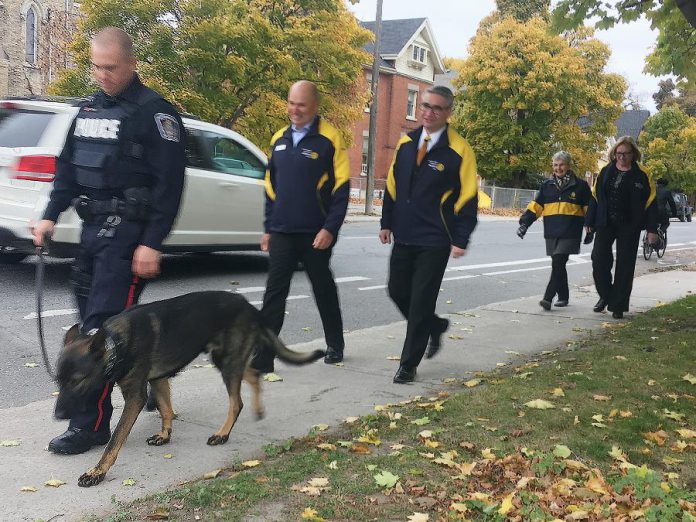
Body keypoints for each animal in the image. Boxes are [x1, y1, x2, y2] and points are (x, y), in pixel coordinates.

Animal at [54, 290, 326, 486]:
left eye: (78, 380)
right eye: (58, 380)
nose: (58, 415)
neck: (115, 344)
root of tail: (248, 304)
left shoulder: (135, 397)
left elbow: (115, 440)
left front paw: (97, 471)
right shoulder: (158, 380)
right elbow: (165, 409)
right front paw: (165, 435)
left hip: (227, 363)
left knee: (237, 401)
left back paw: (222, 434)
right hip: (223, 359)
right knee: (253, 374)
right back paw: (258, 409)